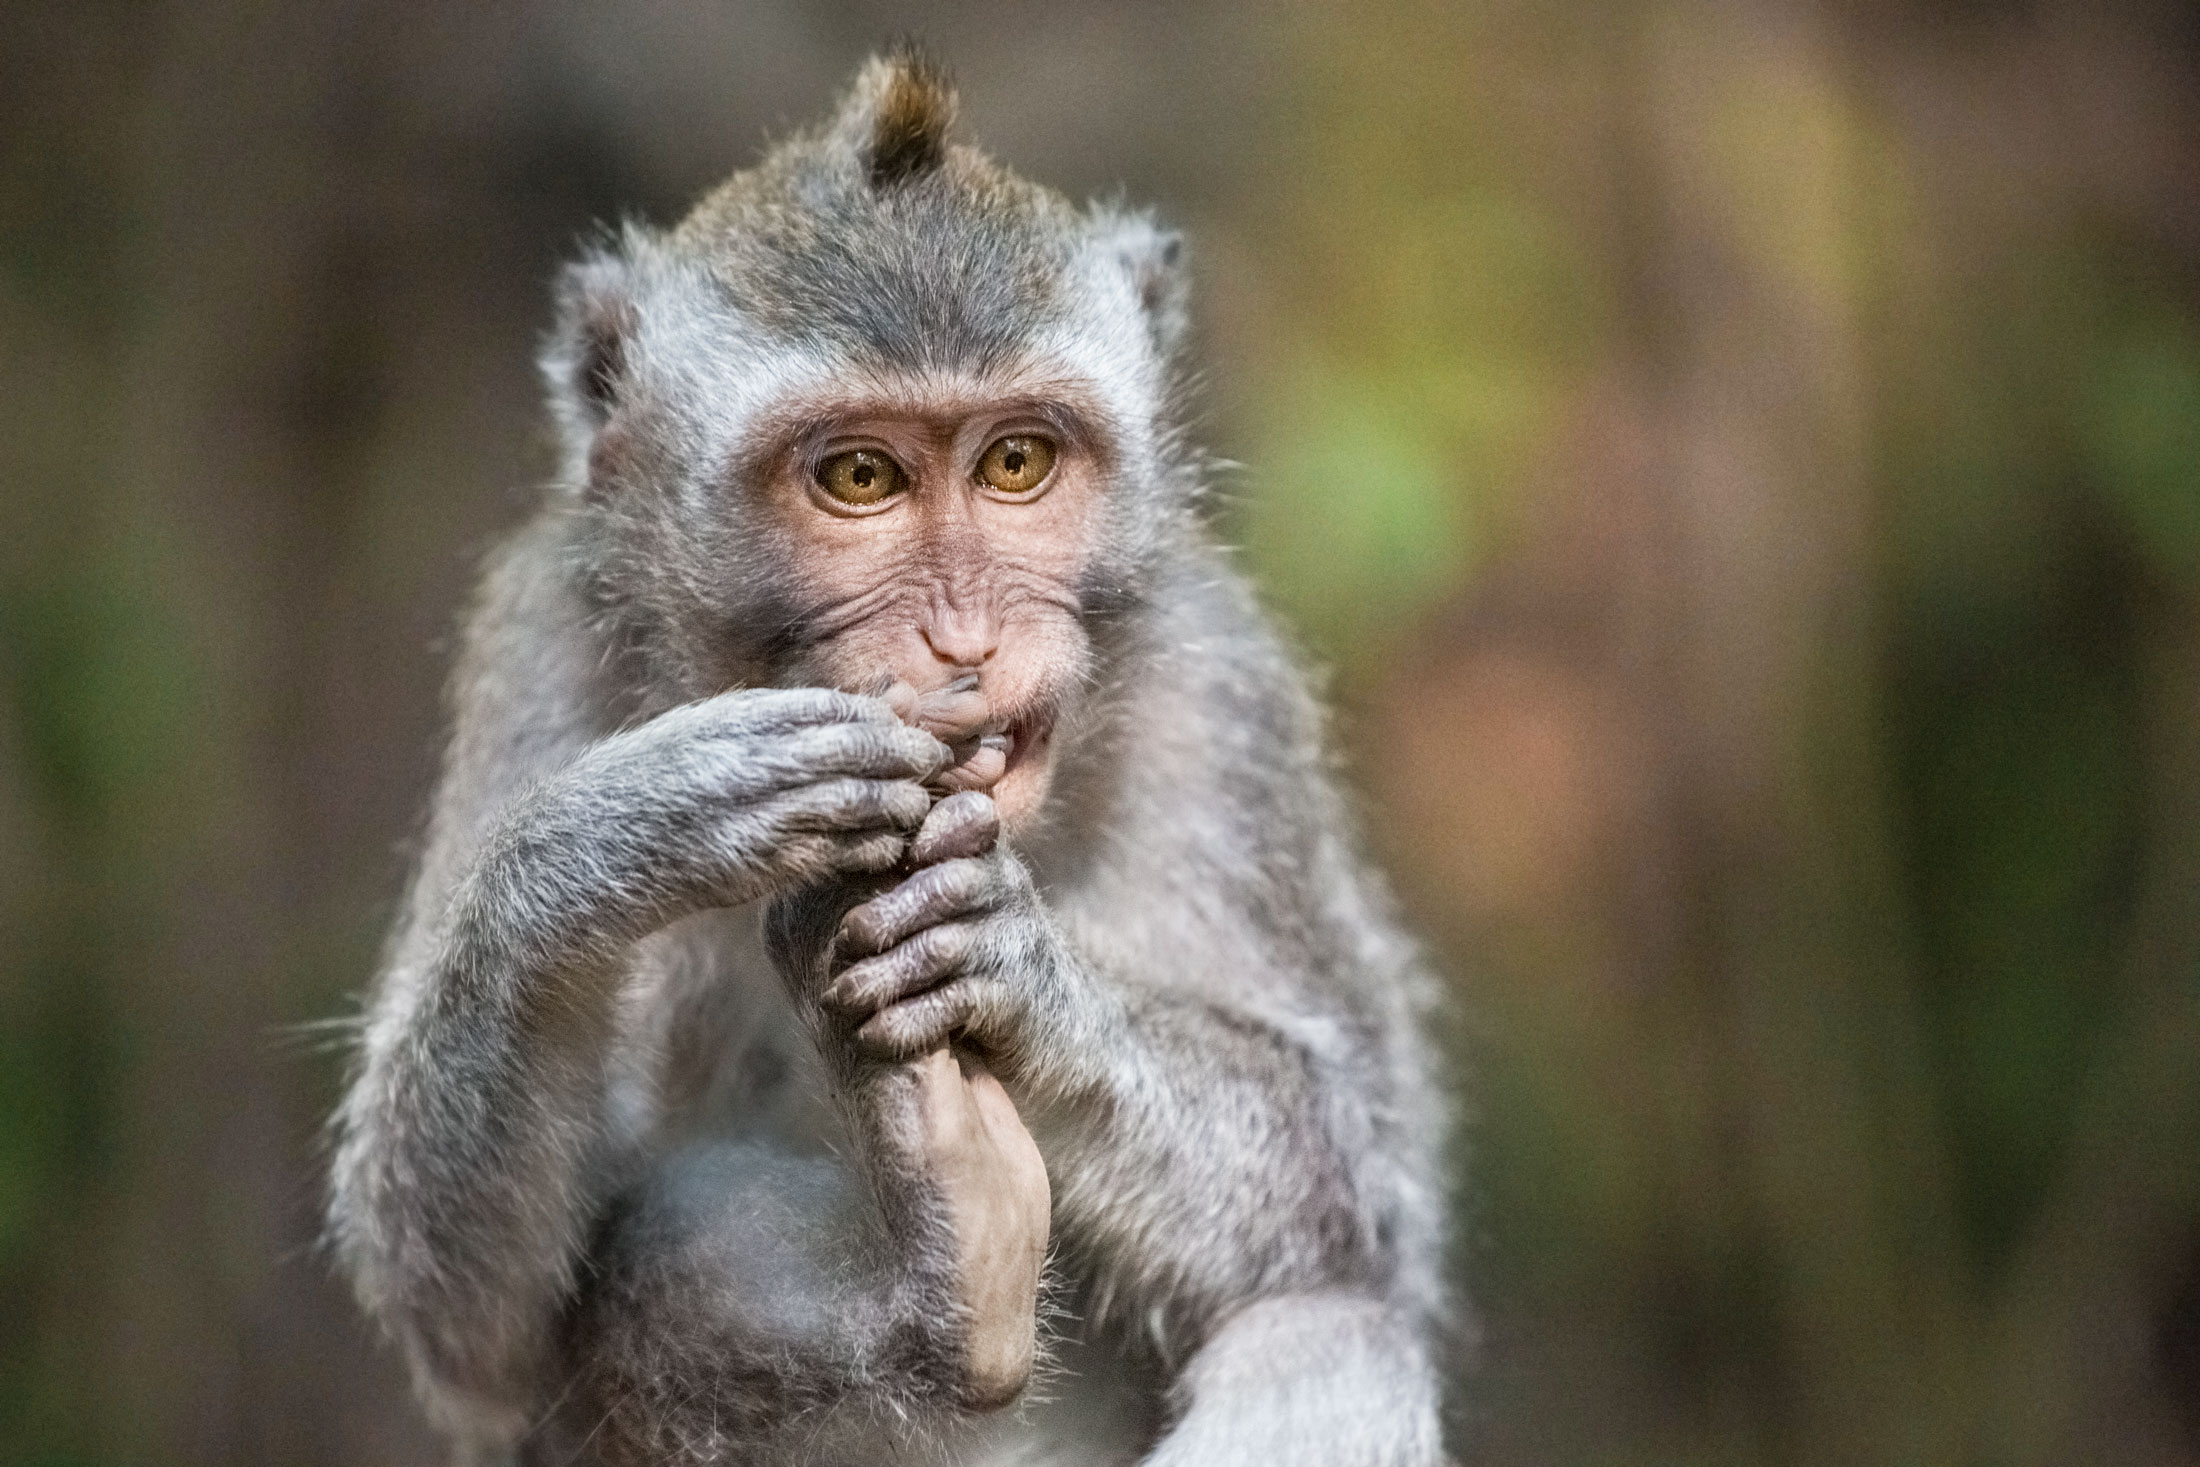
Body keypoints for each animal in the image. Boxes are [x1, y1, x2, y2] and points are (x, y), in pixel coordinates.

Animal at [327, 49, 1450, 1467]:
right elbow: (473, 1329)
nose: (964, 638)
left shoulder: (1219, 690)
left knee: (1332, 1332)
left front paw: (1017, 973)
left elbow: (1362, 1196)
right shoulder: (538, 645)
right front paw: (620, 837)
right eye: (861, 478)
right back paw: (946, 1277)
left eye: (1015, 461)